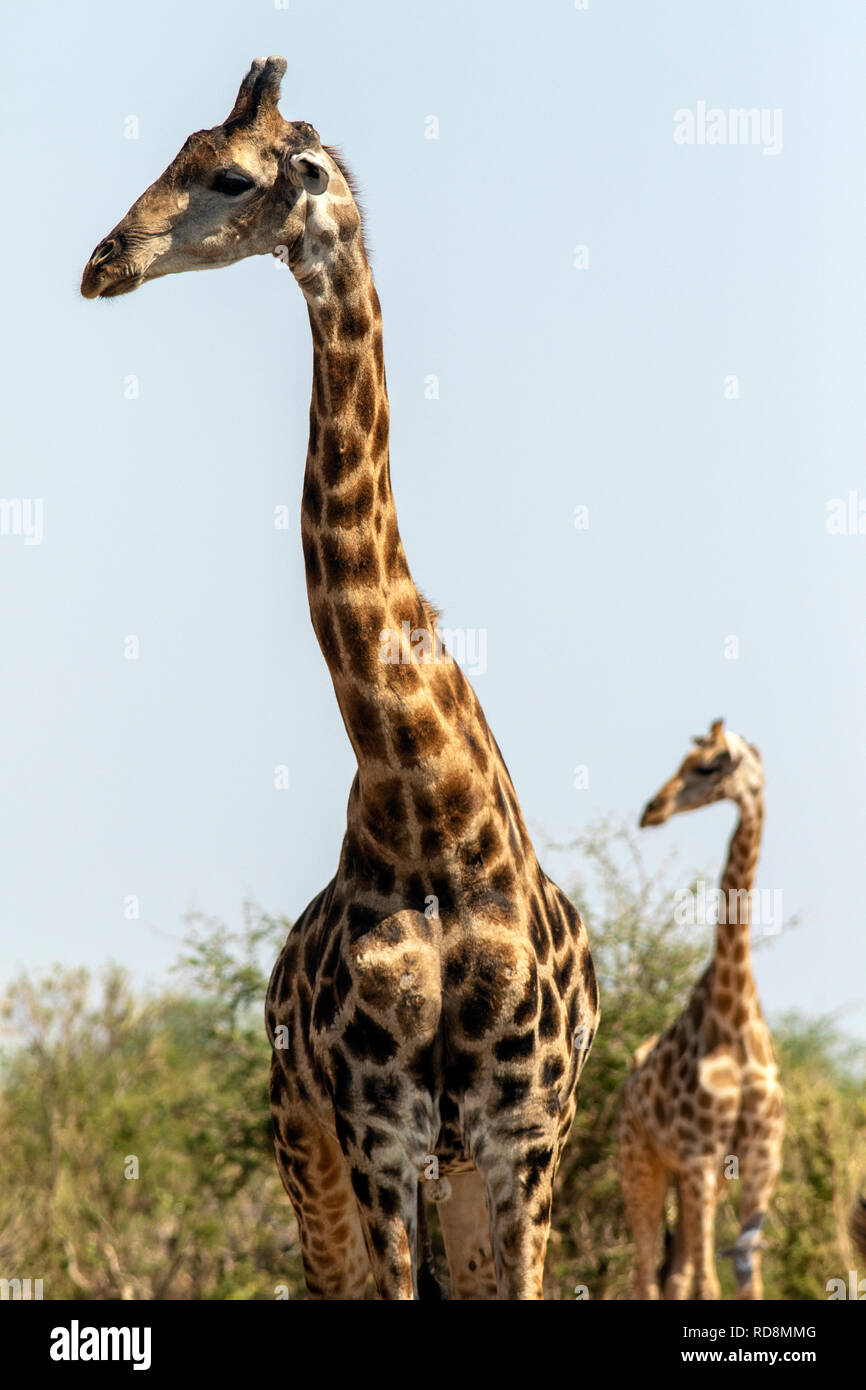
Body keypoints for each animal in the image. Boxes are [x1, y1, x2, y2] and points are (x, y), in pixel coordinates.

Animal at [81, 56, 600, 1301]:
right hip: (304, 1147)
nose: (103, 261)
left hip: (463, 1179)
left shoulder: (523, 1142)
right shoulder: (376, 1134)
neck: (427, 800)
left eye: (227, 174)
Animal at [617, 722, 783, 1295]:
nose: (652, 810)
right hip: (641, 1162)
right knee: (647, 1276)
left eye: (708, 766)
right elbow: (707, 1284)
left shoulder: (758, 1161)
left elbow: (745, 1283)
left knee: (674, 1274)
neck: (734, 1016)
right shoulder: (700, 1156)